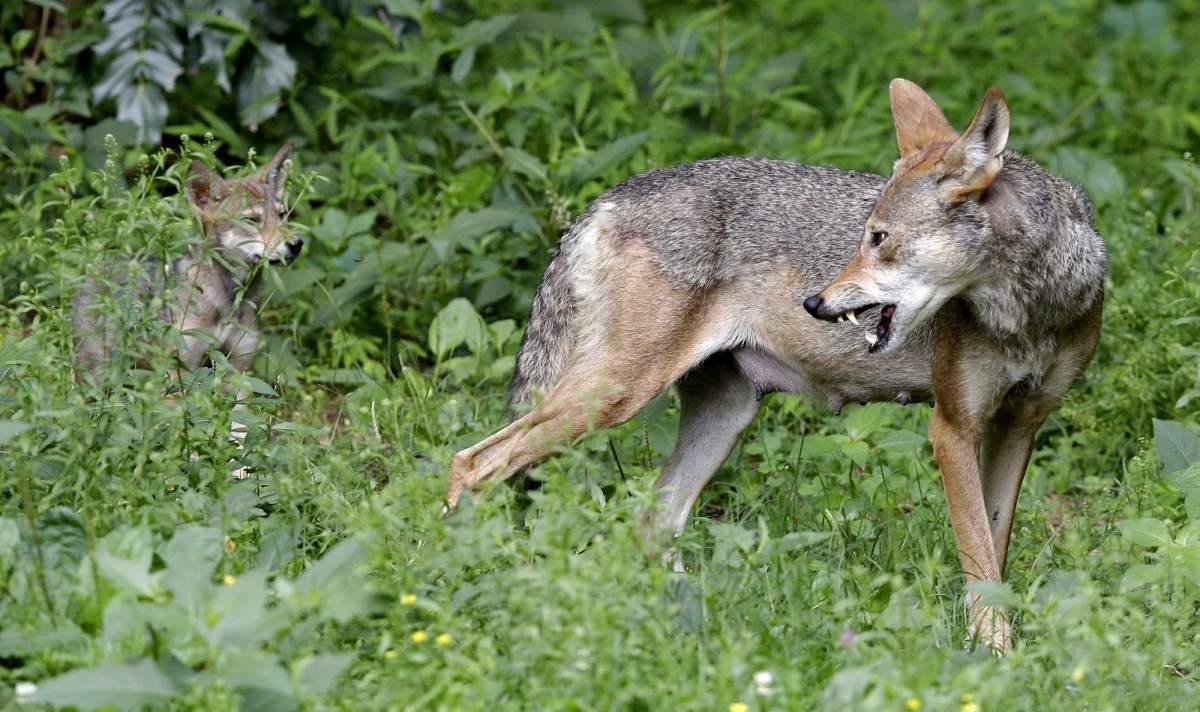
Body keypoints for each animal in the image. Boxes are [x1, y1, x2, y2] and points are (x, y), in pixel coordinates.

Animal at [73, 142, 301, 475]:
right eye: (251, 220)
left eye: (283, 215)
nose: (296, 244)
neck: (228, 300)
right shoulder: (180, 373)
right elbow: (184, 433)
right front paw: (183, 472)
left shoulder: (238, 370)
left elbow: (238, 433)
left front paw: (237, 474)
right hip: (98, 378)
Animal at [446, 80, 1106, 651]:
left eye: (878, 239)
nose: (814, 302)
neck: (1033, 311)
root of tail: (607, 198)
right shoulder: (951, 428)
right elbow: (979, 561)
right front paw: (994, 655)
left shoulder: (1019, 426)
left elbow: (994, 552)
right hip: (609, 401)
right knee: (470, 463)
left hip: (722, 418)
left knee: (652, 522)